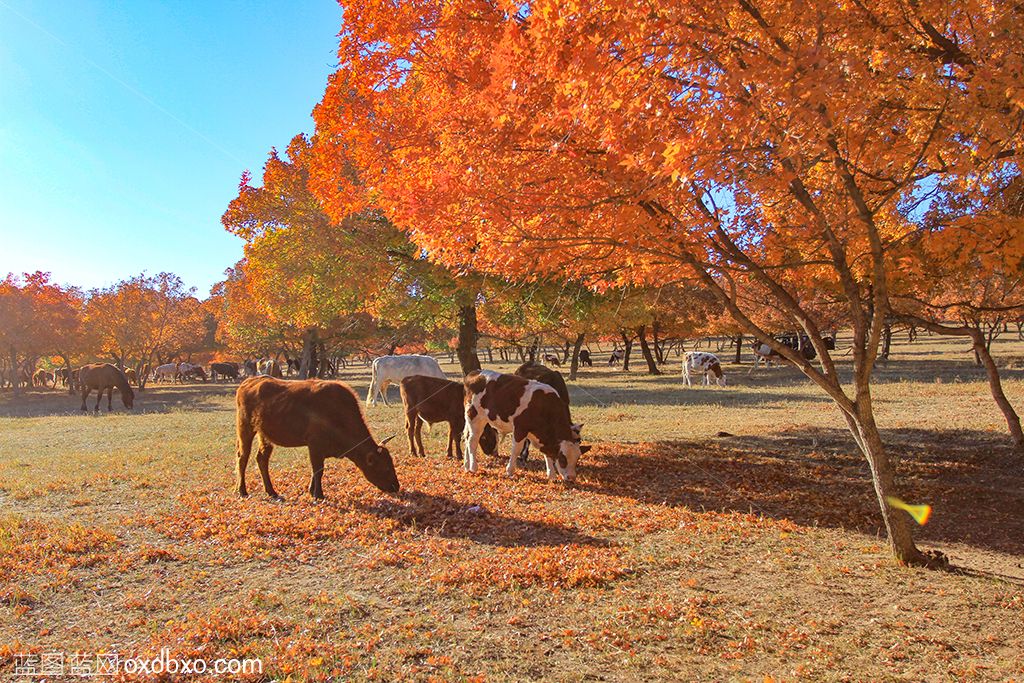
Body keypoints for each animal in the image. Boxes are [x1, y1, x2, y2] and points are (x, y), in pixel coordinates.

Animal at [235, 376, 399, 499]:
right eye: (385, 467)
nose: (396, 486)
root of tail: (248, 382)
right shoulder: (315, 446)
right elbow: (318, 470)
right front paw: (318, 494)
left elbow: (316, 471)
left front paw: (311, 491)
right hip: (245, 428)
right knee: (243, 458)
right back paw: (242, 491)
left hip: (264, 435)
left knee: (262, 459)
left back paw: (271, 491)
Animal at [460, 370, 589, 483]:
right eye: (563, 458)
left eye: (577, 459)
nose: (571, 477)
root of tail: (474, 373)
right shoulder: (520, 428)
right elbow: (516, 450)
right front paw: (510, 471)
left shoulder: (540, 435)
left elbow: (547, 453)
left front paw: (551, 475)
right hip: (475, 417)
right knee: (472, 441)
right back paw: (473, 467)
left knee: (467, 438)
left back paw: (466, 466)